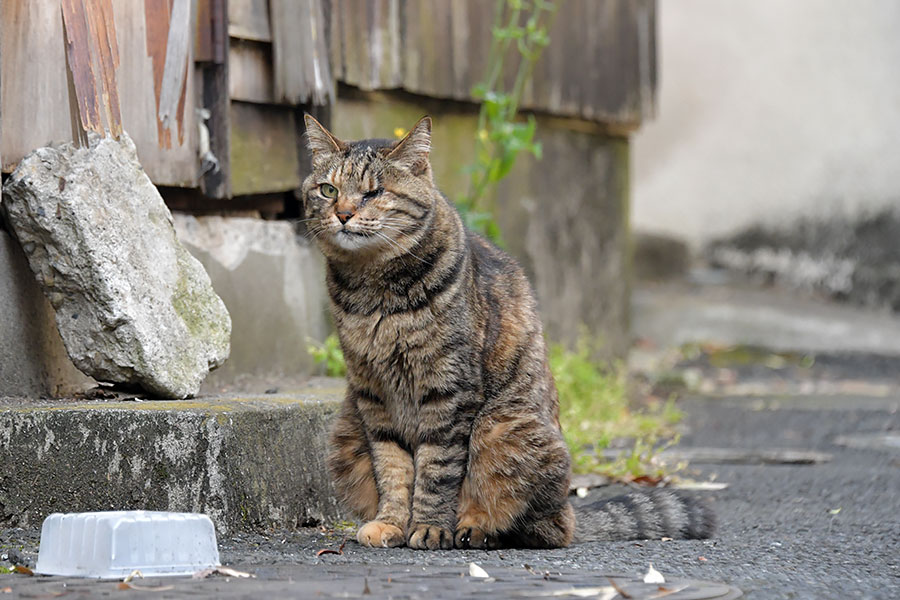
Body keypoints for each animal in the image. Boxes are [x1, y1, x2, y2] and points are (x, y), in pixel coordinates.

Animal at [302, 113, 716, 548]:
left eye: (374, 192)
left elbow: (436, 469)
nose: (343, 213)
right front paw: (392, 523)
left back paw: (475, 529)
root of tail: (572, 510)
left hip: (501, 429)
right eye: (329, 190)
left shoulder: (449, 389)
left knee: (541, 527)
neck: (374, 288)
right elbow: (393, 468)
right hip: (346, 431)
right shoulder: (372, 393)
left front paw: (429, 526)